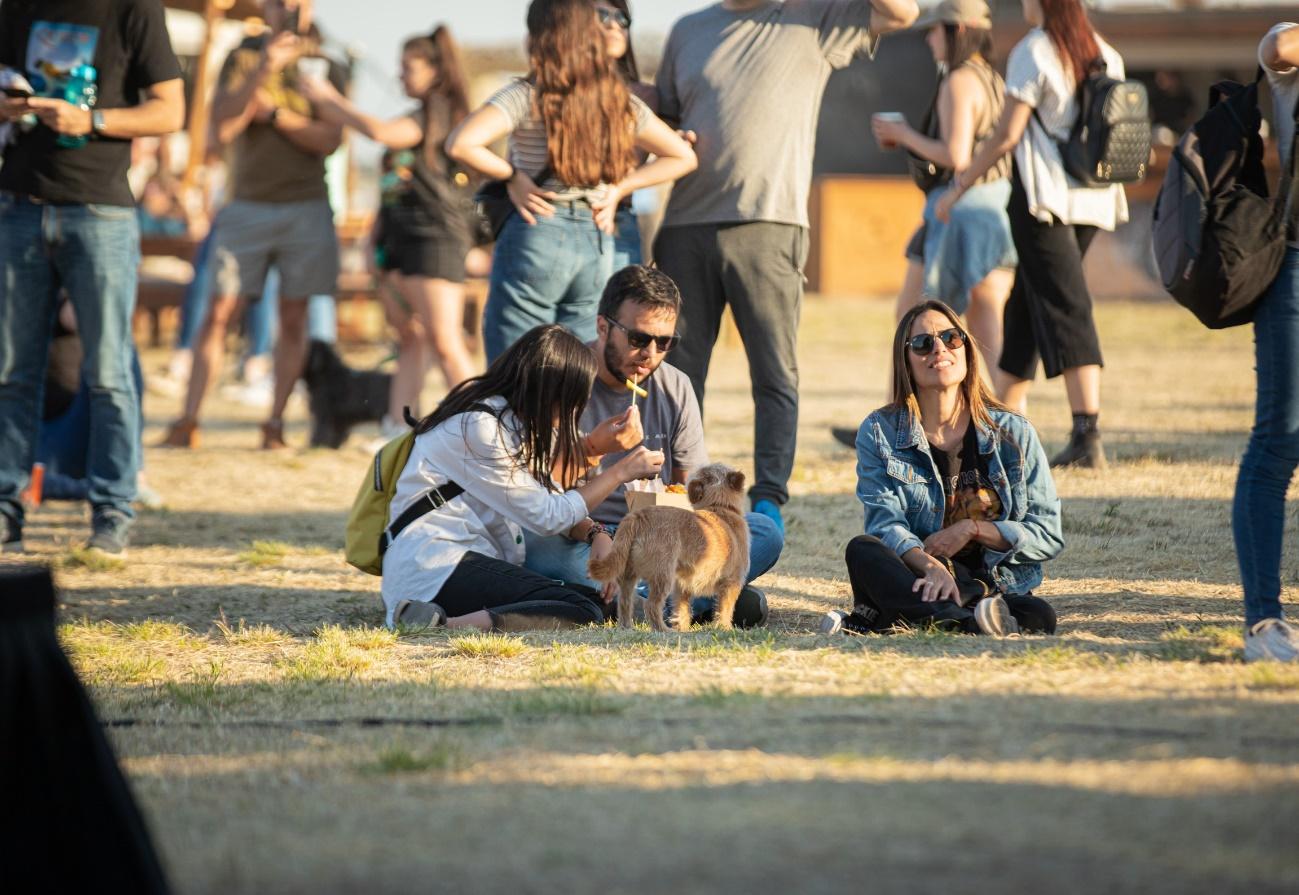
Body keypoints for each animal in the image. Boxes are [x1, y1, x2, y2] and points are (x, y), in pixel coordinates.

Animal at [584, 465, 748, 631]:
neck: (718, 506)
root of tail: (638, 516)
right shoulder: (732, 583)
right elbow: (725, 609)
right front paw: (724, 627)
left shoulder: (682, 587)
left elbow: (682, 610)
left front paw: (682, 628)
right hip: (662, 576)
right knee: (651, 605)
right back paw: (663, 629)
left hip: (628, 575)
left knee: (624, 602)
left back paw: (627, 627)